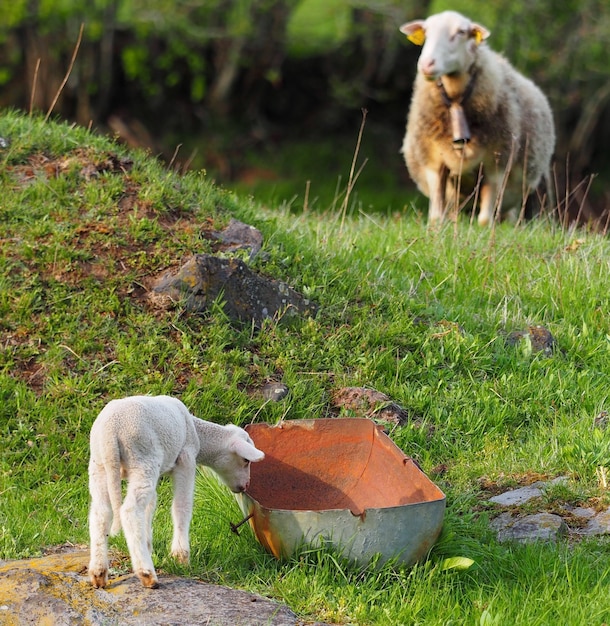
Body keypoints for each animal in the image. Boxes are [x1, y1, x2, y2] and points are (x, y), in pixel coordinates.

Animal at [86, 392, 262, 588]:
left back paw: (98, 573)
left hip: (100, 465)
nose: (245, 486)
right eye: (246, 460)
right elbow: (181, 507)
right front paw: (180, 555)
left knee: (101, 513)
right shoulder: (186, 459)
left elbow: (151, 506)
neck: (198, 432)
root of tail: (111, 432)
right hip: (142, 458)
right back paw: (146, 573)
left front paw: (148, 544)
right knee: (130, 511)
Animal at [396, 10, 552, 224]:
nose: (427, 64)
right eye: (426, 33)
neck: (456, 99)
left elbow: (485, 219)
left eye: (461, 32)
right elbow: (436, 216)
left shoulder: (496, 163)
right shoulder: (433, 163)